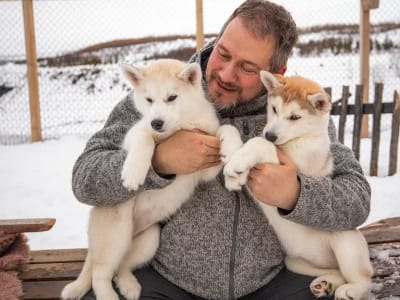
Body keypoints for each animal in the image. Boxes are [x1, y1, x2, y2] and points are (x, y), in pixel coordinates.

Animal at [60, 59, 241, 300]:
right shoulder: (135, 132)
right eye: (148, 100)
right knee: (100, 273)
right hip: (117, 228)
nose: (157, 122)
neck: (180, 126)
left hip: (150, 238)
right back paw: (109, 293)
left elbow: (225, 128)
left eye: (172, 97)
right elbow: (144, 138)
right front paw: (133, 173)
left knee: (119, 268)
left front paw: (233, 150)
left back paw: (128, 285)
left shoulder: (204, 168)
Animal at [223, 71, 374, 300]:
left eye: (295, 117)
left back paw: (351, 290)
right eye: (274, 109)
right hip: (296, 262)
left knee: (365, 278)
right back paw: (325, 283)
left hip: (346, 240)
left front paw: (238, 162)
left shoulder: (295, 165)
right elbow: (236, 133)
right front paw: (231, 159)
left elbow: (258, 143)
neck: (299, 139)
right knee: (336, 271)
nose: (271, 135)